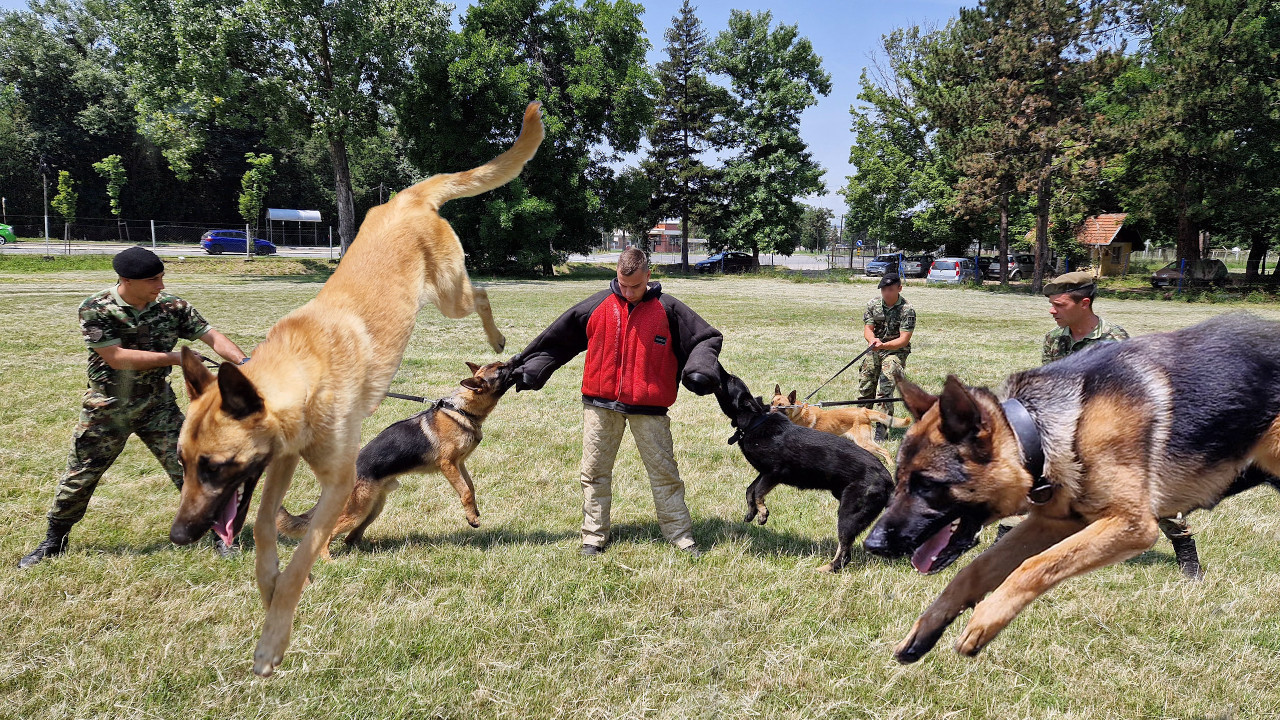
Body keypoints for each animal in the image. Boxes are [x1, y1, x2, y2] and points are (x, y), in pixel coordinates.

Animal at [276, 358, 514, 556]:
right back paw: (329, 560)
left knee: (350, 536)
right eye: (501, 370)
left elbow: (470, 487)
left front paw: (473, 511)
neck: (462, 410)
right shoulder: (448, 465)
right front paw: (472, 519)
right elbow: (464, 491)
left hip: (372, 509)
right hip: (357, 511)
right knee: (329, 534)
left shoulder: (460, 463)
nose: (514, 360)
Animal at [716, 366, 896, 568]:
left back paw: (827, 568)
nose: (718, 367)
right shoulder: (763, 473)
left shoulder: (774, 473)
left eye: (731, 380)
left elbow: (758, 492)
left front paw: (762, 513)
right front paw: (751, 512)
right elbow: (750, 491)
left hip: (848, 514)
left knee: (844, 551)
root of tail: (889, 481)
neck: (755, 421)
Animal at [768, 386, 911, 466]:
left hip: (864, 443)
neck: (797, 413)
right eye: (771, 402)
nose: (767, 413)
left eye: (781, 406)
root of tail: (864, 411)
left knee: (885, 451)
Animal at [860, 312, 1280, 661]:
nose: (872, 545)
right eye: (900, 479)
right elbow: (976, 569)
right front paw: (929, 626)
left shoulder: (1131, 525)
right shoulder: (1055, 522)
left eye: (928, 486)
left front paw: (984, 621)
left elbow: (1034, 565)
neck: (1039, 431)